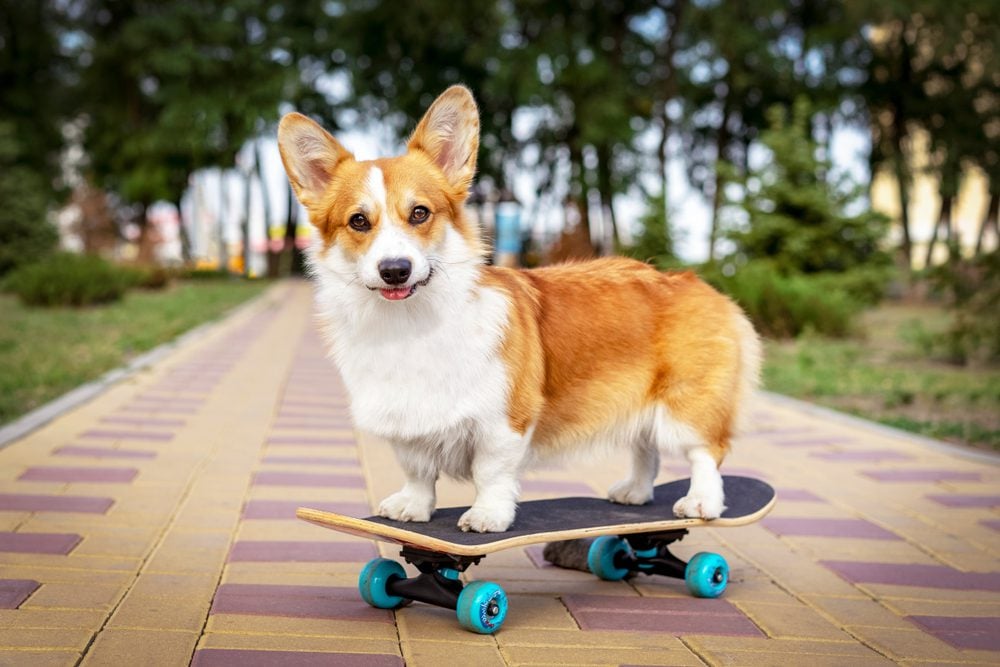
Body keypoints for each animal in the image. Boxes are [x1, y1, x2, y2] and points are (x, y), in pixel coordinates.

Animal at [278, 86, 760, 532]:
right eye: (358, 221)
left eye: (419, 213)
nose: (395, 270)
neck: (410, 324)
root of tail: (700, 285)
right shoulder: (407, 422)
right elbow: (417, 469)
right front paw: (412, 507)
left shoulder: (503, 421)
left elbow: (489, 473)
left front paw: (487, 515)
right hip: (637, 405)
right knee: (646, 449)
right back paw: (636, 492)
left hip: (687, 406)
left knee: (706, 452)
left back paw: (701, 501)